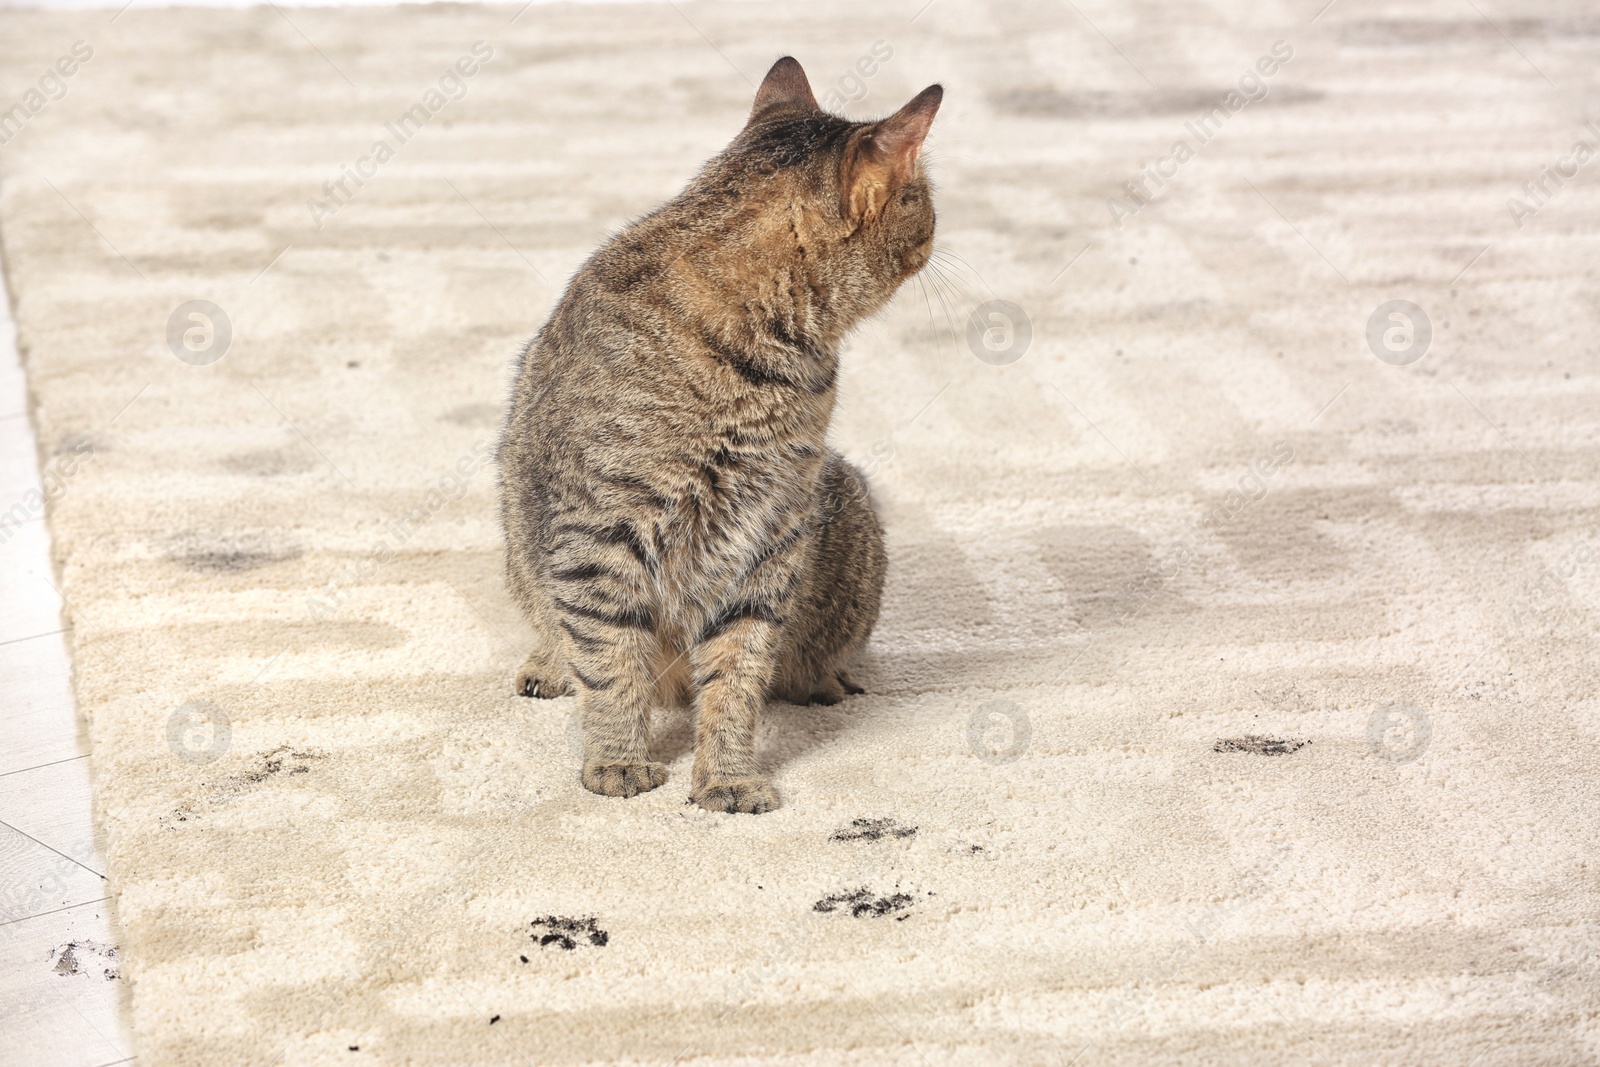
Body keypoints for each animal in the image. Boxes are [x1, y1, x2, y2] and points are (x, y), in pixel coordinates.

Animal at [492, 56, 934, 809]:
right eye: (926, 197)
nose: (938, 223)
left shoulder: (767, 539)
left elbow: (737, 675)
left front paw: (726, 775)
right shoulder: (599, 538)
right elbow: (611, 664)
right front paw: (618, 757)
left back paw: (824, 678)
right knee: (559, 630)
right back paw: (548, 665)